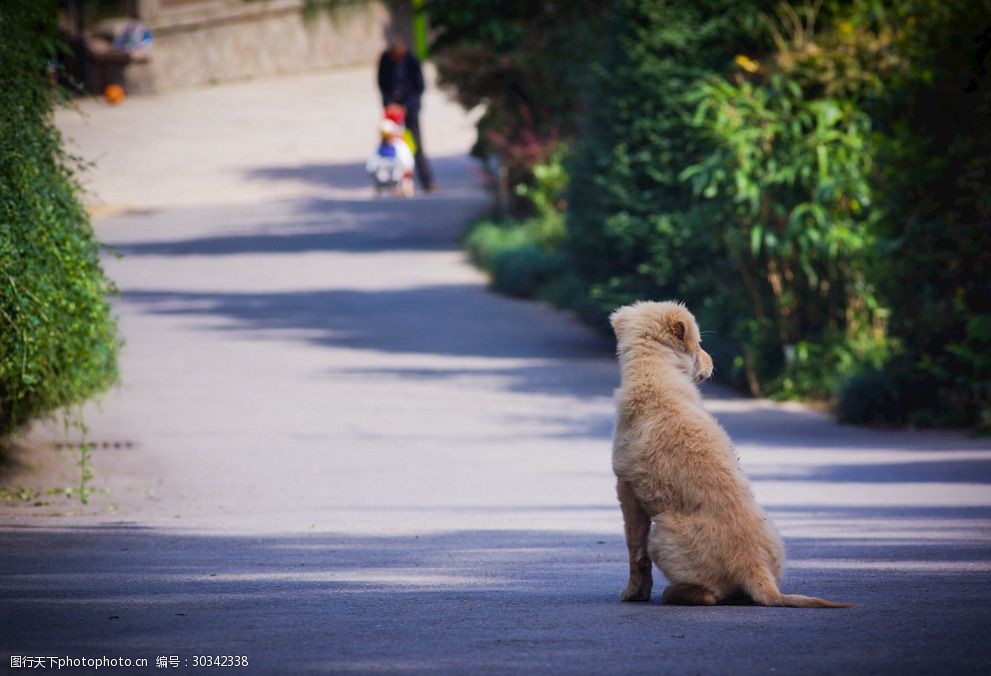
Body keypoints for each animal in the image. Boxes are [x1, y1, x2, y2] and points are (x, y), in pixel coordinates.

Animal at [608, 302, 848, 608]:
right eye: (699, 344)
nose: (712, 364)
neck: (655, 372)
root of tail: (753, 567)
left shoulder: (626, 487)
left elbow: (635, 550)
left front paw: (634, 593)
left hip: (661, 532)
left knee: (709, 595)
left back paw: (673, 593)